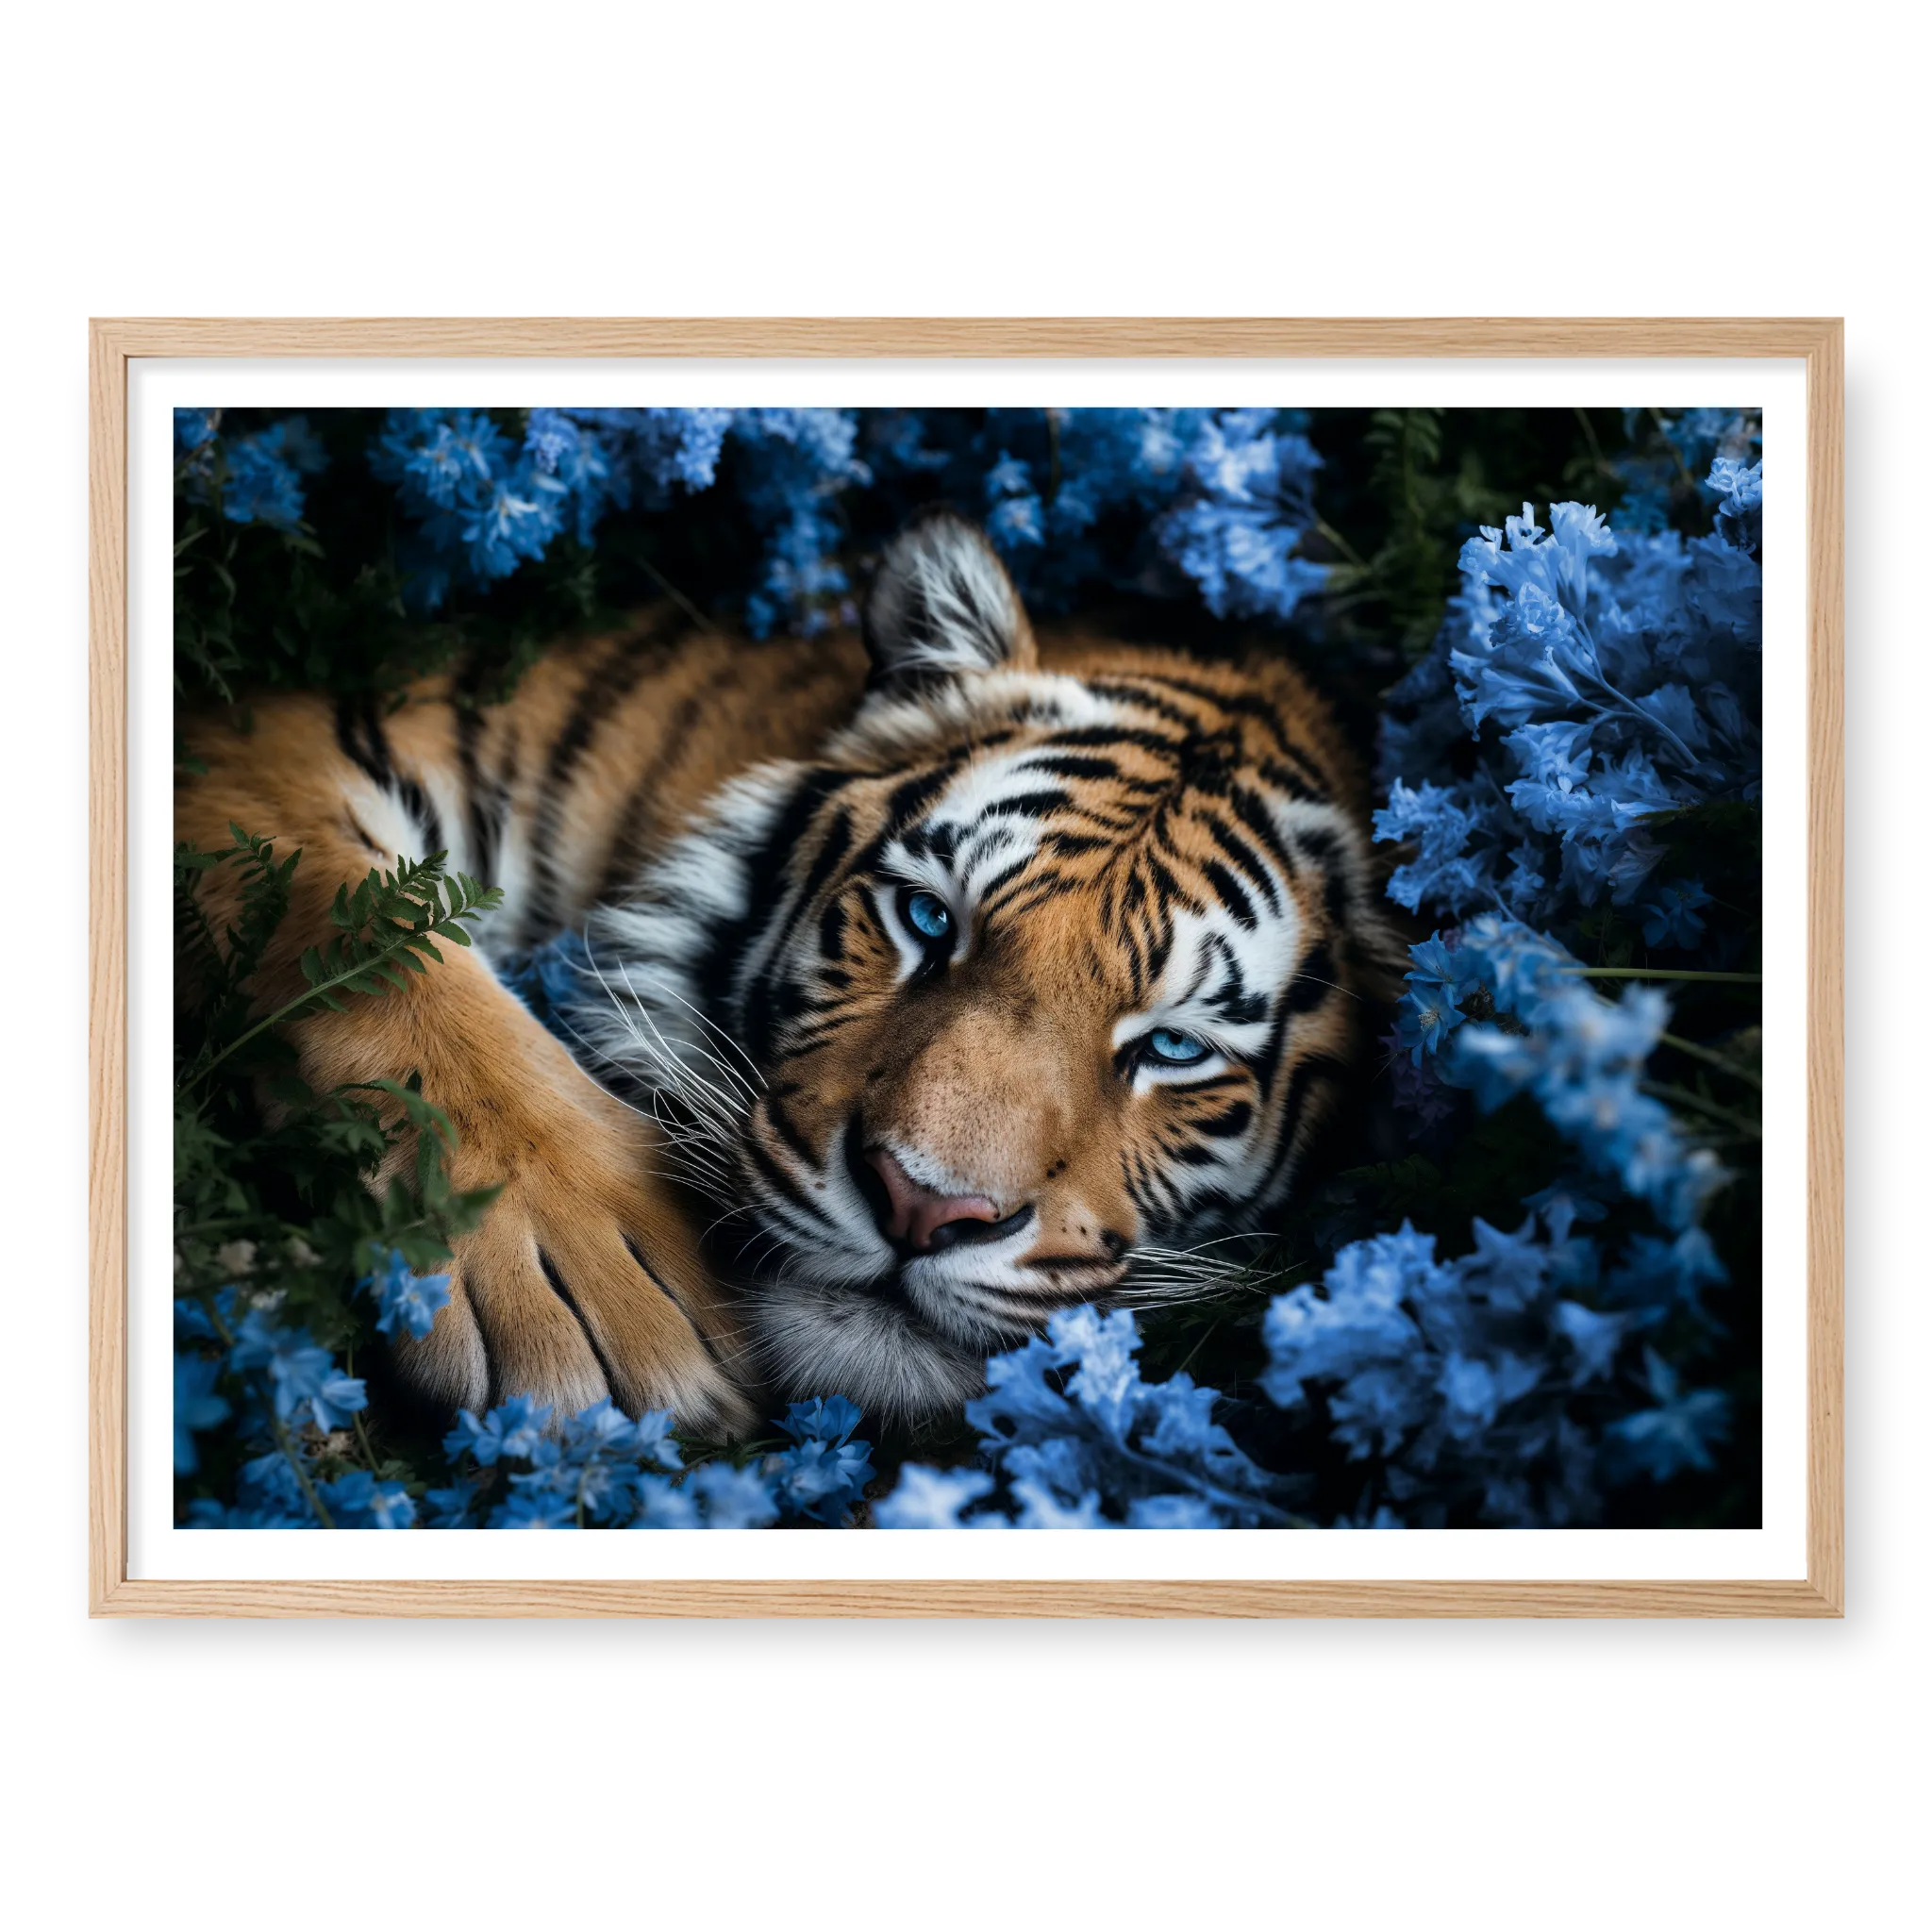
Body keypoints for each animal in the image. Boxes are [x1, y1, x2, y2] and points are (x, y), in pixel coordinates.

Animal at [177, 510, 1394, 1437]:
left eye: (1172, 1046)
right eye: (926, 918)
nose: (921, 1207)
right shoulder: (288, 733)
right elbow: (366, 937)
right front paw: (580, 1276)